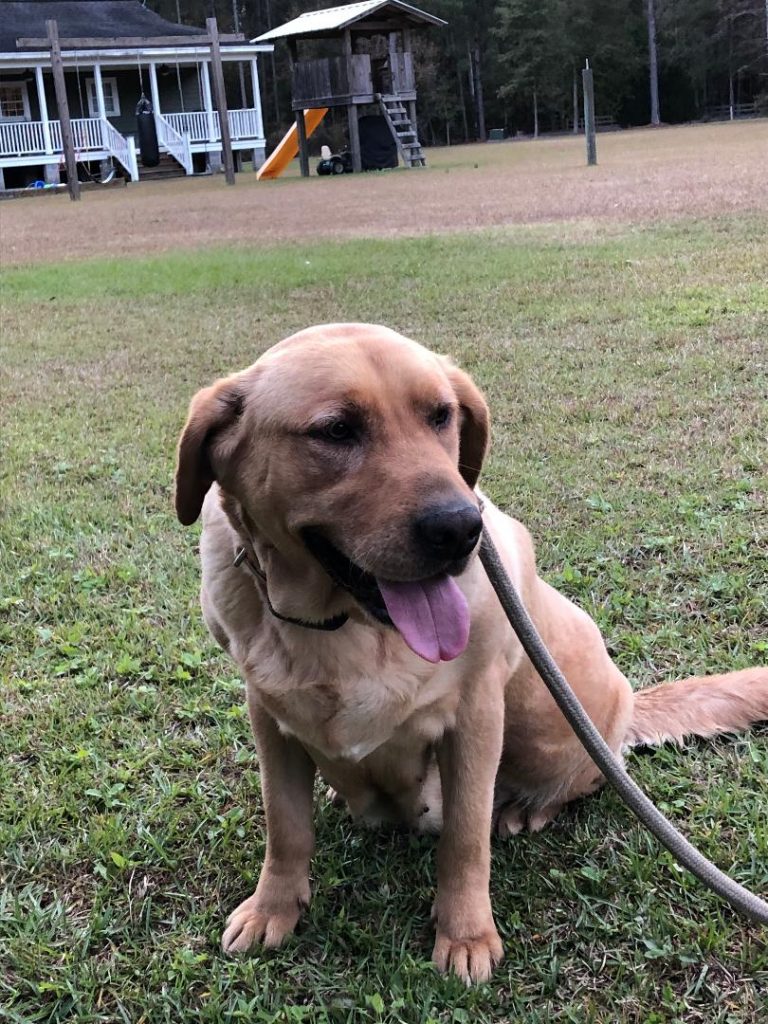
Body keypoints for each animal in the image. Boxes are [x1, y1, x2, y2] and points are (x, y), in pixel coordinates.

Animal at [177, 323, 768, 978]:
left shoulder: (475, 715)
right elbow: (285, 827)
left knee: (581, 780)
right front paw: (273, 908)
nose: (462, 529)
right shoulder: (269, 716)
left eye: (442, 415)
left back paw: (529, 808)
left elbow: (465, 837)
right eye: (335, 430)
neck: (340, 626)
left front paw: (465, 935)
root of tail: (630, 704)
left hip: (562, 726)